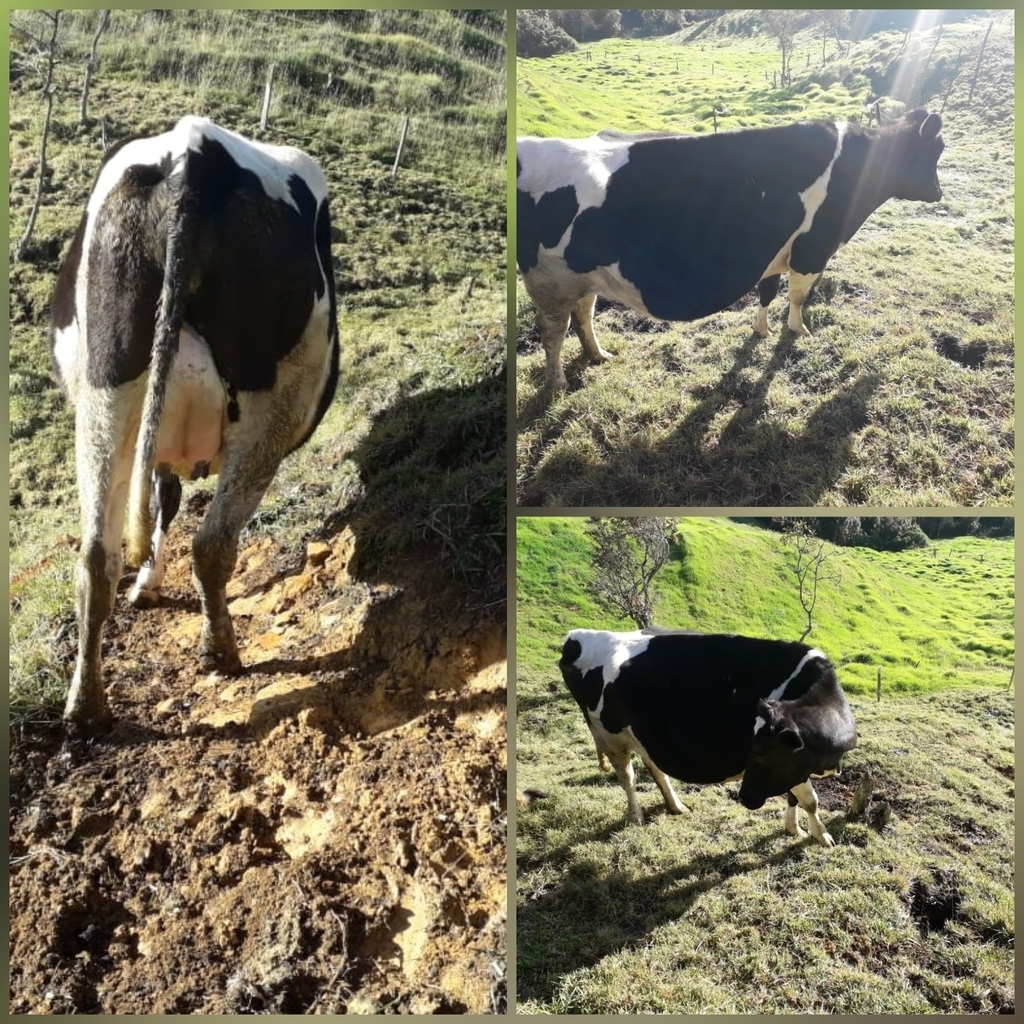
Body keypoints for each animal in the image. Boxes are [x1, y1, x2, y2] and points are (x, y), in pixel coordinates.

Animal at [50, 116, 339, 732]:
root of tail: (195, 154)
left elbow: (162, 504)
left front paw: (146, 583)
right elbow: (169, 504)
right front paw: (150, 583)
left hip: (107, 386)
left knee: (96, 555)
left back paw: (86, 706)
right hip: (271, 406)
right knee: (211, 543)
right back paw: (220, 650)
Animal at [517, 109, 945, 388]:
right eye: (935, 151)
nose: (939, 193)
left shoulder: (776, 254)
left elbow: (768, 292)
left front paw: (761, 331)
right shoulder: (812, 251)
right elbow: (798, 298)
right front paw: (798, 331)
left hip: (580, 276)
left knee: (583, 314)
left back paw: (597, 356)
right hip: (548, 282)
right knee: (553, 332)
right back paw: (557, 383)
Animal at [559, 627, 858, 847]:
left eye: (762, 753)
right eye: (753, 749)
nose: (745, 798)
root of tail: (578, 636)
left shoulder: (795, 767)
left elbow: (794, 797)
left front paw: (793, 828)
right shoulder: (796, 767)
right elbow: (810, 801)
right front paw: (823, 836)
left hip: (643, 736)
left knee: (656, 768)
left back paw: (676, 806)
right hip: (610, 736)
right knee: (627, 778)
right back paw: (636, 817)